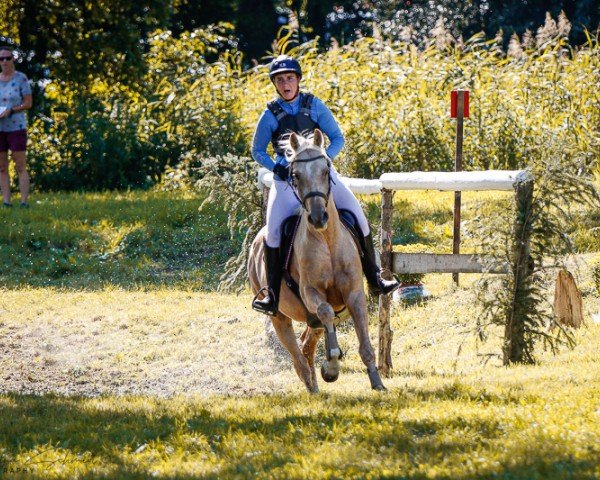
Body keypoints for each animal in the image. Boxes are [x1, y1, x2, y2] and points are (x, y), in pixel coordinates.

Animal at [247, 129, 384, 392]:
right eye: (295, 175)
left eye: (325, 171)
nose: (319, 217)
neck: (326, 241)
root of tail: (256, 242)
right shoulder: (311, 293)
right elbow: (327, 311)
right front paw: (331, 367)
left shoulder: (354, 293)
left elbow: (365, 343)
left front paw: (377, 382)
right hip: (279, 317)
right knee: (298, 357)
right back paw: (313, 387)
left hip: (311, 322)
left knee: (306, 347)